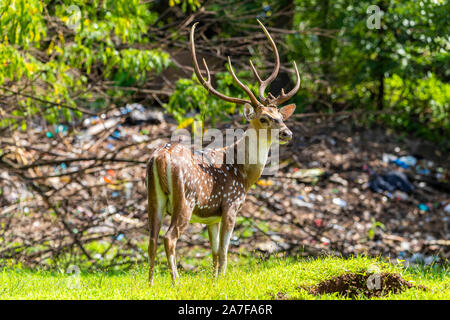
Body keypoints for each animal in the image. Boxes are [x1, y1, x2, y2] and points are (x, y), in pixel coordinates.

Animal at [146, 20, 300, 284]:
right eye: (264, 118)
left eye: (280, 116)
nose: (287, 133)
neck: (243, 173)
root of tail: (160, 157)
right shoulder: (230, 203)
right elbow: (226, 250)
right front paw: (222, 280)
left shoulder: (211, 216)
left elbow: (215, 251)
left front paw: (214, 280)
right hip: (186, 198)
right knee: (169, 237)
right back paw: (176, 282)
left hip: (153, 198)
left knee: (151, 238)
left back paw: (150, 283)